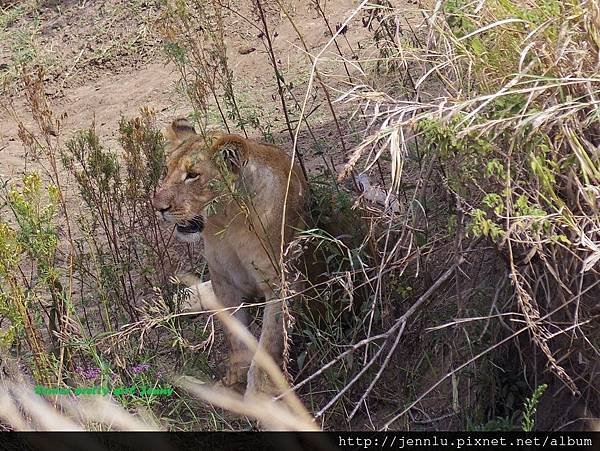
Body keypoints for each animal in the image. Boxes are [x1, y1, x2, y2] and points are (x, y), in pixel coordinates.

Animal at [152, 118, 308, 398]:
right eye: (166, 171)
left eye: (192, 175)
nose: (157, 207)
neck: (227, 222)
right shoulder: (223, 281)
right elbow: (237, 338)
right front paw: (234, 382)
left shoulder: (282, 282)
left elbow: (269, 344)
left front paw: (258, 396)